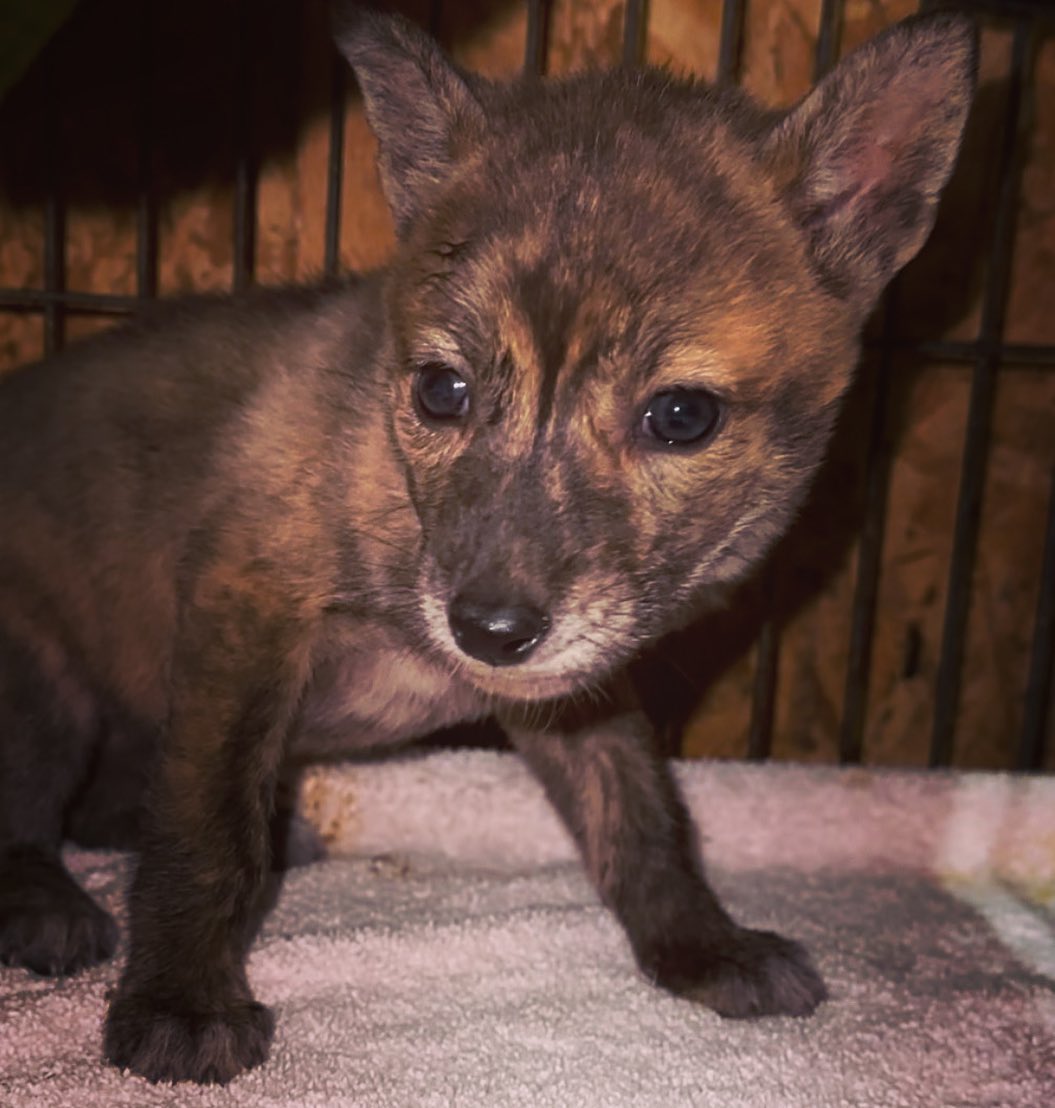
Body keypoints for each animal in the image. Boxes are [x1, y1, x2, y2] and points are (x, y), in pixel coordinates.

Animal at [0, 4, 976, 1085]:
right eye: (441, 390)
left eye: (680, 416)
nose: (489, 632)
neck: (389, 483)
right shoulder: (244, 599)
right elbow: (207, 831)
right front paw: (179, 1001)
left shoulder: (576, 683)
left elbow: (641, 817)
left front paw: (701, 948)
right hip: (39, 693)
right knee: (28, 815)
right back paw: (47, 907)